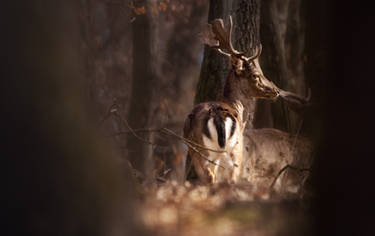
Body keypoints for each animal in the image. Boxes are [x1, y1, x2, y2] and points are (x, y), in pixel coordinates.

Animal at [184, 16, 310, 184]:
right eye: (255, 75)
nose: (275, 90)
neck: (235, 106)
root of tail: (216, 115)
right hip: (233, 148)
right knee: (227, 177)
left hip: (197, 150)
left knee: (209, 176)